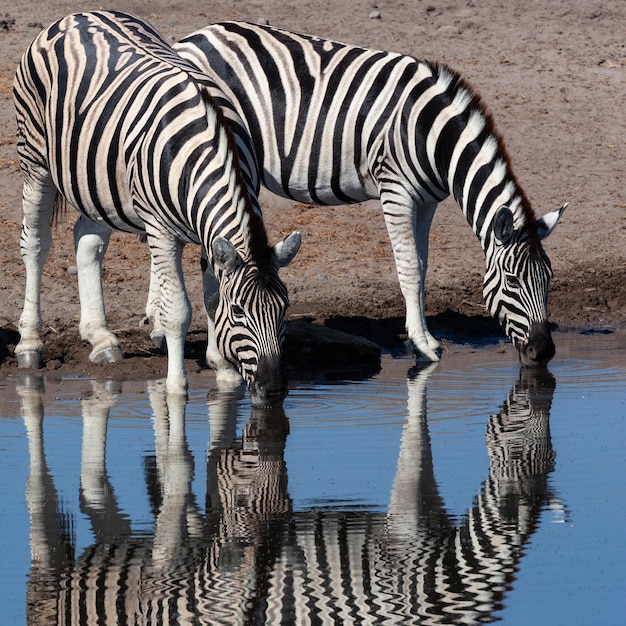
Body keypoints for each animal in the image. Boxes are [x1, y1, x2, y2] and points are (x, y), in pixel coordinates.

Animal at [12, 12, 300, 408]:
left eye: (284, 308)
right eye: (240, 312)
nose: (272, 391)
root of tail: (75, 16)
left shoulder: (209, 233)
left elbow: (211, 297)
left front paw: (223, 370)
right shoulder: (161, 231)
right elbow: (178, 310)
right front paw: (176, 386)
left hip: (96, 179)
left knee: (87, 241)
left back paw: (101, 338)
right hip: (35, 159)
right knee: (36, 244)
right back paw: (30, 343)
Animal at [172, 22, 564, 366]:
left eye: (549, 278)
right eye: (512, 281)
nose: (543, 352)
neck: (432, 134)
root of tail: (192, 37)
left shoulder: (428, 201)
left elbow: (422, 266)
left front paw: (425, 335)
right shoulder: (396, 192)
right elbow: (409, 267)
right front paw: (422, 344)